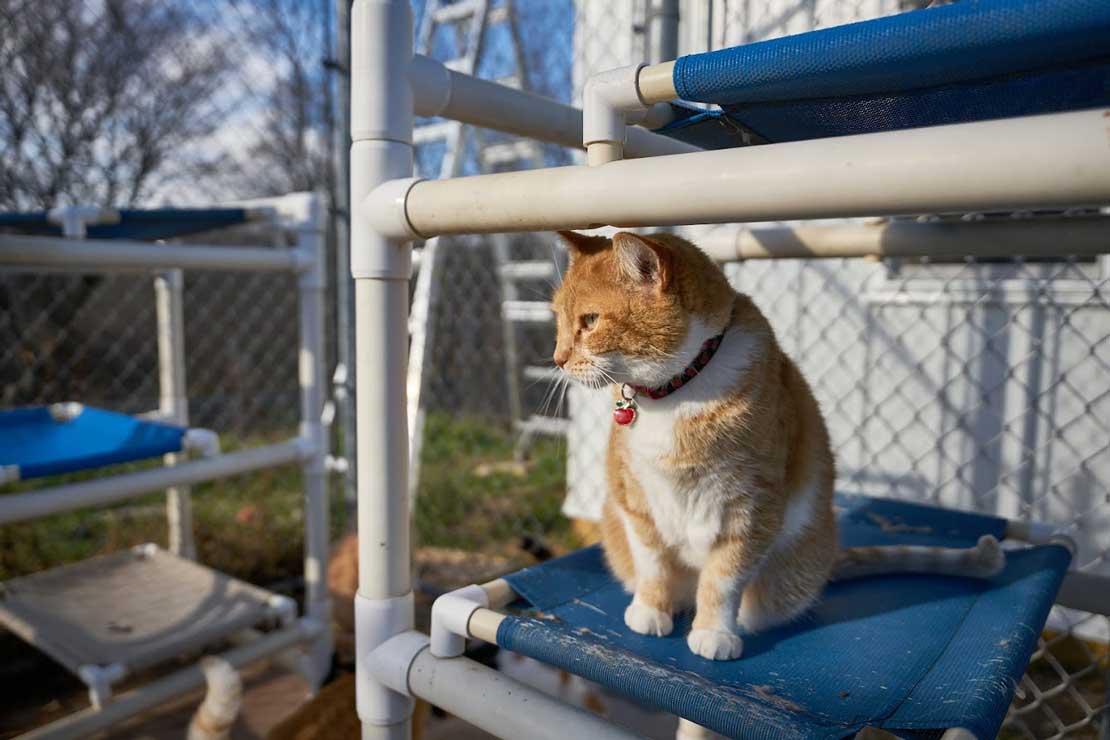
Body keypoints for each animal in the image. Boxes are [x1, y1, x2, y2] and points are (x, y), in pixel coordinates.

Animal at [550, 229, 1003, 661]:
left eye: (590, 320)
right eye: (558, 319)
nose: (557, 359)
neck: (678, 392)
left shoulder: (752, 507)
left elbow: (722, 579)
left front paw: (714, 633)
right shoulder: (636, 499)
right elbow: (654, 564)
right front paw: (650, 610)